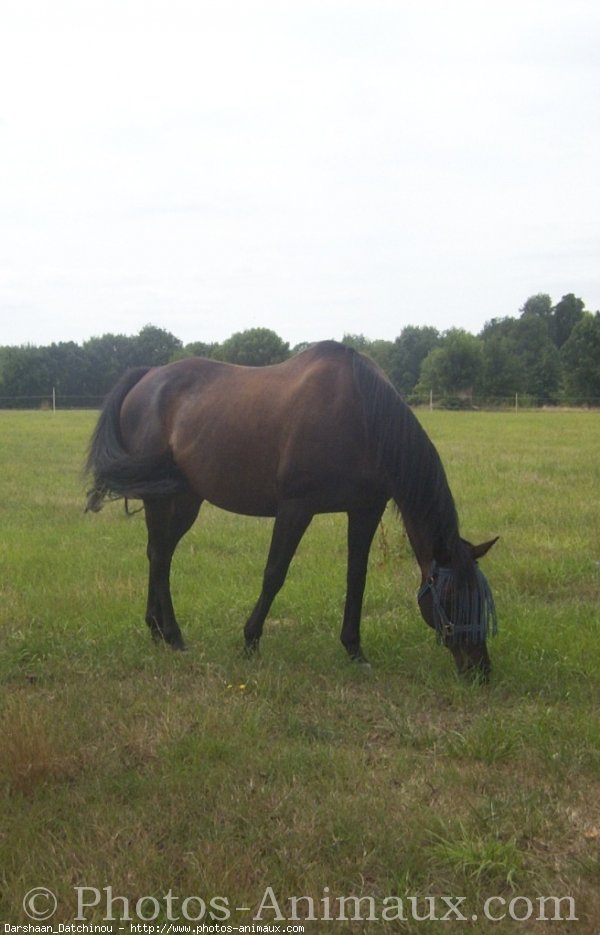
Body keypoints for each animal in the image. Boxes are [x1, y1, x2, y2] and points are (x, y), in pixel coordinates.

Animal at [84, 340, 496, 676]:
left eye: (482, 598)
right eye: (451, 599)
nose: (480, 669)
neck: (361, 415)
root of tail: (147, 377)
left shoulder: (365, 510)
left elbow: (356, 577)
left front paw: (354, 650)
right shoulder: (296, 507)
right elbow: (274, 574)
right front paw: (250, 641)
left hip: (185, 499)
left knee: (160, 554)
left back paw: (156, 630)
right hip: (161, 499)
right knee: (159, 555)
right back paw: (172, 634)